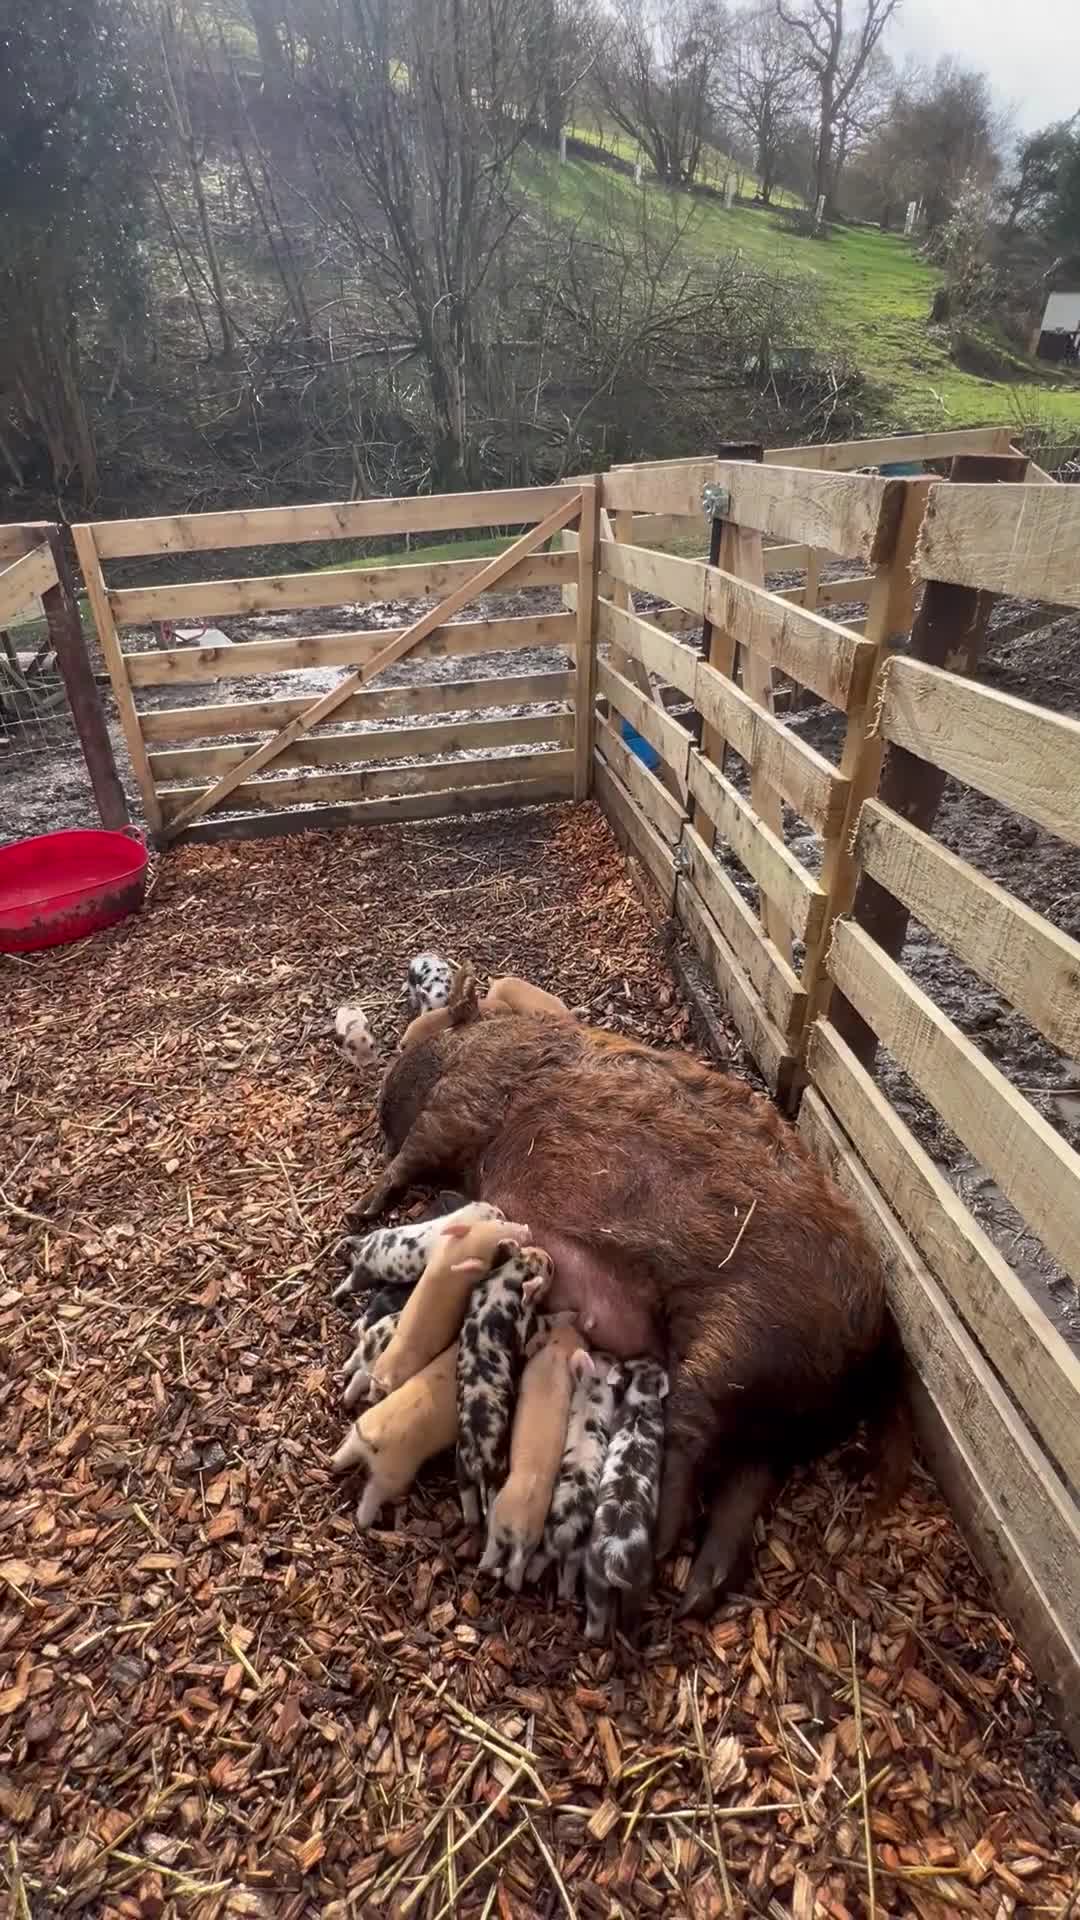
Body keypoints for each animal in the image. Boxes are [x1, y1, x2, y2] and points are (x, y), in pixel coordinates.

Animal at [332, 1344, 459, 1527]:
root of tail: (373, 1436)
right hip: (394, 1476)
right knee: (372, 1494)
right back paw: (363, 1523)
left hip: (355, 1442)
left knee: (340, 1459)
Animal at [456, 1244, 555, 1523]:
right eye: (548, 1268)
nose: (552, 1258)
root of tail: (478, 1457)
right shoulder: (523, 1329)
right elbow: (532, 1338)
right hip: (497, 1469)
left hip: (461, 1469)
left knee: (469, 1509)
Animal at [478, 1322, 585, 1590]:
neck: (558, 1351)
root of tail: (517, 1527)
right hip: (522, 1541)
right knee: (504, 1573)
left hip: (501, 1528)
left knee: (498, 1568)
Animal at [526, 1354, 623, 1597]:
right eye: (608, 1358)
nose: (611, 1355)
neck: (591, 1390)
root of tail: (564, 1533)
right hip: (577, 1553)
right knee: (566, 1579)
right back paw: (567, 1595)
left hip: (548, 1542)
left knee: (542, 1558)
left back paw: (530, 1578)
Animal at [583, 1358, 668, 1640]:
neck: (641, 1401)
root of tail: (613, 1556)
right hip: (638, 1581)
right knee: (631, 1615)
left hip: (594, 1578)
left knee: (594, 1622)